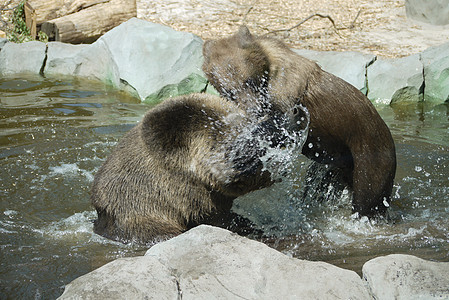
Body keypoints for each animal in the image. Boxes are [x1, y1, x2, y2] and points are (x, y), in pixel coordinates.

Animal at [203, 25, 396, 217]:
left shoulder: (288, 91)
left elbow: (281, 126)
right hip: (338, 166)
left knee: (368, 195)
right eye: (229, 91)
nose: (254, 109)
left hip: (369, 153)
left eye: (249, 81)